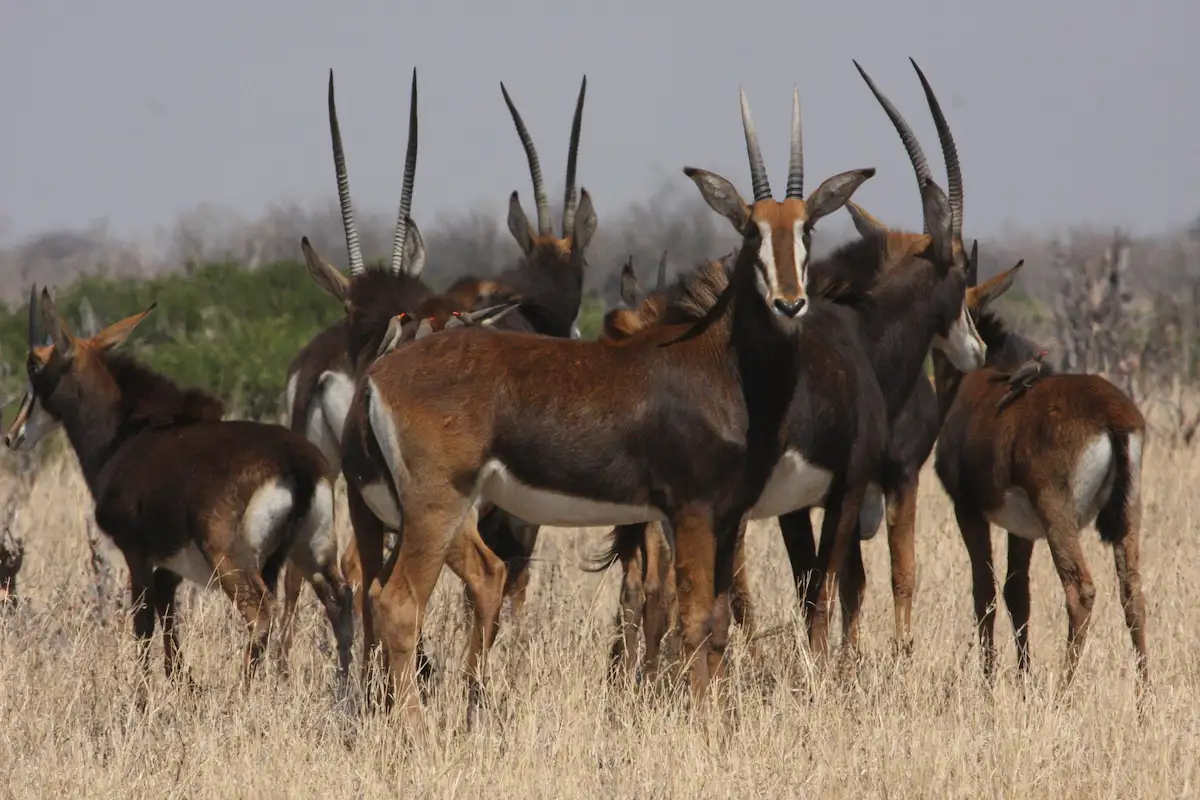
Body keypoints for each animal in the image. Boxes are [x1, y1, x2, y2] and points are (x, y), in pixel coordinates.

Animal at [5, 287, 350, 700]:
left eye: (34, 367)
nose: (13, 435)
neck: (127, 436)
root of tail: (295, 462)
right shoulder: (169, 563)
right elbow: (168, 613)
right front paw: (183, 685)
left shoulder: (136, 551)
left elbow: (143, 621)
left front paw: (140, 697)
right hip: (312, 549)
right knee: (340, 602)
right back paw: (352, 687)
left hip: (230, 558)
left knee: (260, 611)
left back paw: (243, 695)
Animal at [350, 86, 878, 724]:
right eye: (751, 231)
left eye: (808, 230)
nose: (790, 302)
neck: (720, 361)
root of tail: (379, 374)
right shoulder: (692, 512)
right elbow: (693, 620)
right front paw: (701, 726)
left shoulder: (724, 517)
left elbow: (717, 622)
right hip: (438, 506)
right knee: (399, 603)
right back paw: (415, 730)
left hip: (402, 511)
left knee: (376, 593)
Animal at [931, 257, 1147, 695]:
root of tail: (1113, 418)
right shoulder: (1022, 528)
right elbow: (1018, 592)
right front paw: (1023, 678)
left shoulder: (968, 509)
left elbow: (985, 590)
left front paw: (990, 683)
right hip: (1128, 511)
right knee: (1132, 590)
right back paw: (1144, 695)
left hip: (1055, 511)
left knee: (1080, 589)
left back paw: (1063, 691)